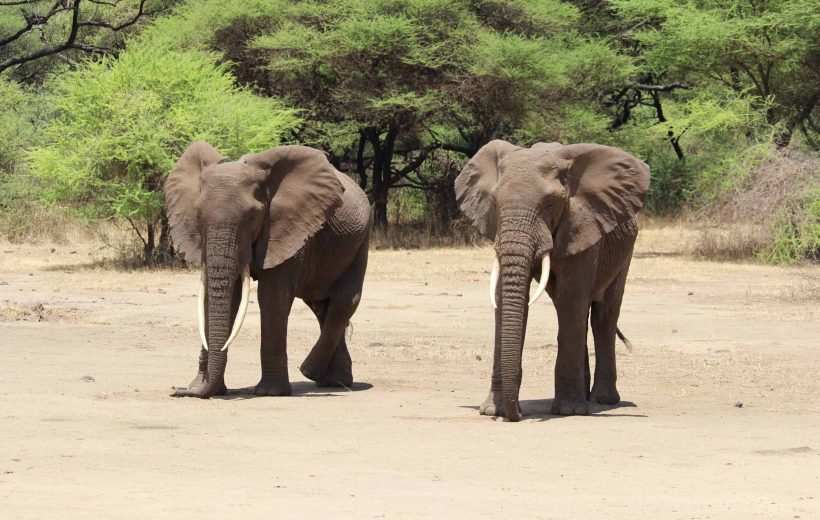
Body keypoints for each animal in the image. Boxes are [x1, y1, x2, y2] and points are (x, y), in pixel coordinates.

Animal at [164, 142, 372, 398]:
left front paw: (270, 392)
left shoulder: (285, 227)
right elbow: (223, 296)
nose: (178, 390)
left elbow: (272, 297)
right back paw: (333, 381)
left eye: (253, 216)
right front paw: (202, 386)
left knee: (344, 301)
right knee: (321, 305)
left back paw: (311, 372)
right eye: (198, 215)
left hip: (361, 238)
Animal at [452, 140, 652, 420]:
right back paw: (585, 396)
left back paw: (601, 400)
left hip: (625, 251)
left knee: (602, 315)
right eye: (494, 203)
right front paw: (493, 409)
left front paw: (569, 411)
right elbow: (506, 298)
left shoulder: (582, 224)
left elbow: (572, 299)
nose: (516, 414)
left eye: (550, 203)